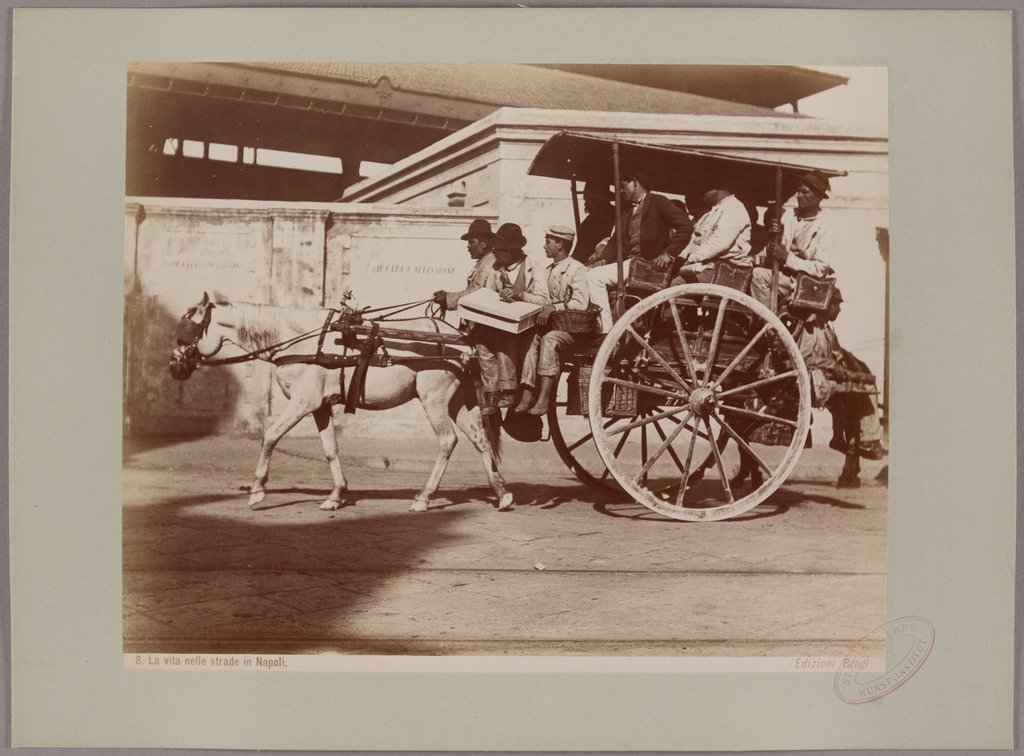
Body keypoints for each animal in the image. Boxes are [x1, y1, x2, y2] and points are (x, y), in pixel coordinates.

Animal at [174, 290, 520, 510]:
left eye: (187, 329)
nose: (173, 366)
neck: (303, 341)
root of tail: (462, 341)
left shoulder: (303, 402)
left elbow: (270, 436)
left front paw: (258, 489)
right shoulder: (321, 406)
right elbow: (330, 449)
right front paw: (336, 494)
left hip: (433, 400)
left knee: (448, 441)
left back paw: (424, 497)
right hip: (456, 402)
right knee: (480, 440)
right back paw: (502, 492)